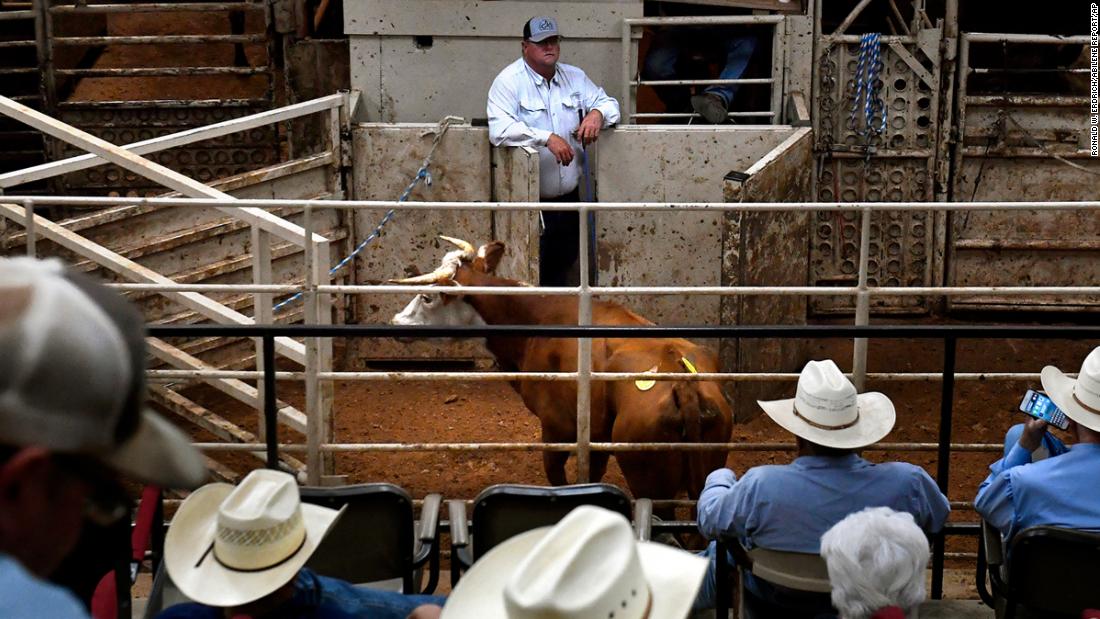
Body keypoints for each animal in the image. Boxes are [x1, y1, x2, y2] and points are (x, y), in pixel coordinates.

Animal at [391, 237, 734, 503]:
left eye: (427, 297)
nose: (396, 322)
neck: (537, 321)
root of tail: (682, 381)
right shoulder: (596, 437)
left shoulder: (556, 428)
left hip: (649, 478)